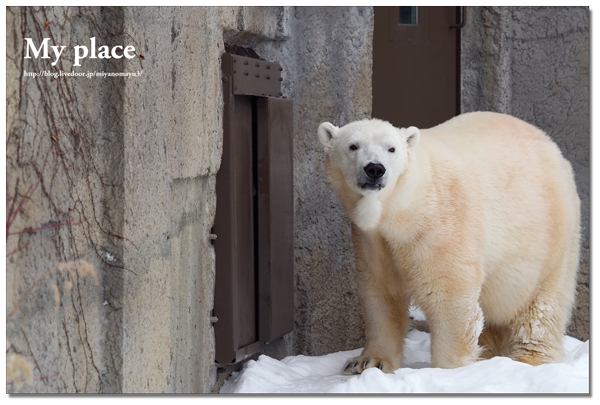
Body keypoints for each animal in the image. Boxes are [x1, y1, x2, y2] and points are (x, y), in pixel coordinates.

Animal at [318, 110, 580, 372]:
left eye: (391, 148)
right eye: (353, 146)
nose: (375, 169)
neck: (403, 208)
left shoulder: (441, 227)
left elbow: (449, 296)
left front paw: (449, 371)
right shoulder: (372, 242)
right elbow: (381, 296)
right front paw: (366, 362)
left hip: (550, 241)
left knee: (541, 308)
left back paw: (529, 359)